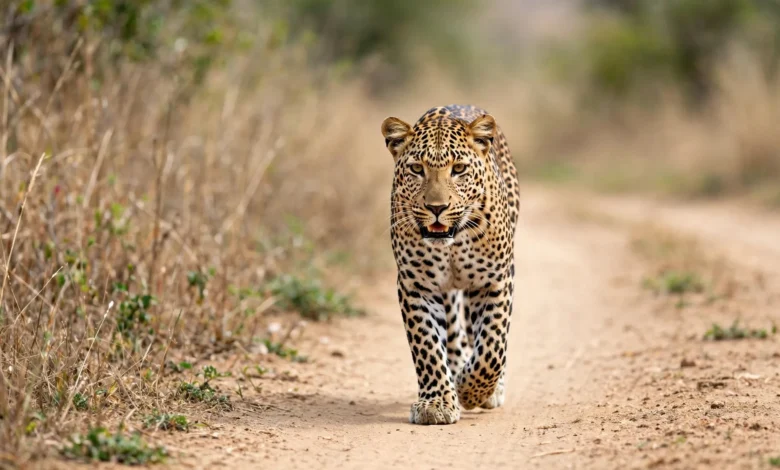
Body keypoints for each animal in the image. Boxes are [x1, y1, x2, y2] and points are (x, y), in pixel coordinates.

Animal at [381, 104, 520, 425]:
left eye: (458, 170)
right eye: (416, 169)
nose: (436, 208)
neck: (453, 244)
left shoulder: (496, 279)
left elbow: (492, 346)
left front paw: (471, 390)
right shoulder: (415, 284)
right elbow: (428, 346)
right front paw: (438, 402)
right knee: (455, 335)